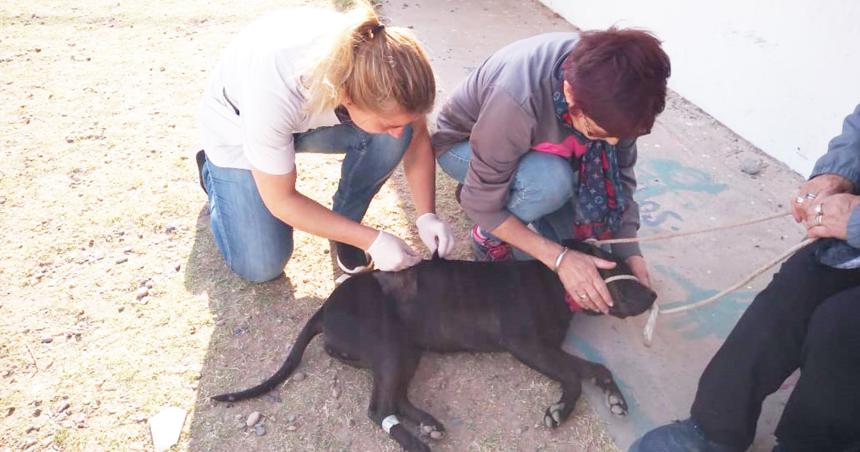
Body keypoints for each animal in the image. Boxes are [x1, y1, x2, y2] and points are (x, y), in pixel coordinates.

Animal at [212, 240, 656, 448]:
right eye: (613, 267)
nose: (653, 296)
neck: (555, 282)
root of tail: (324, 309)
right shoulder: (527, 345)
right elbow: (578, 374)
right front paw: (566, 409)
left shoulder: (546, 349)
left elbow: (589, 370)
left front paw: (607, 399)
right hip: (389, 347)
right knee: (379, 409)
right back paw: (414, 442)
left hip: (407, 351)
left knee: (396, 399)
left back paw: (427, 423)